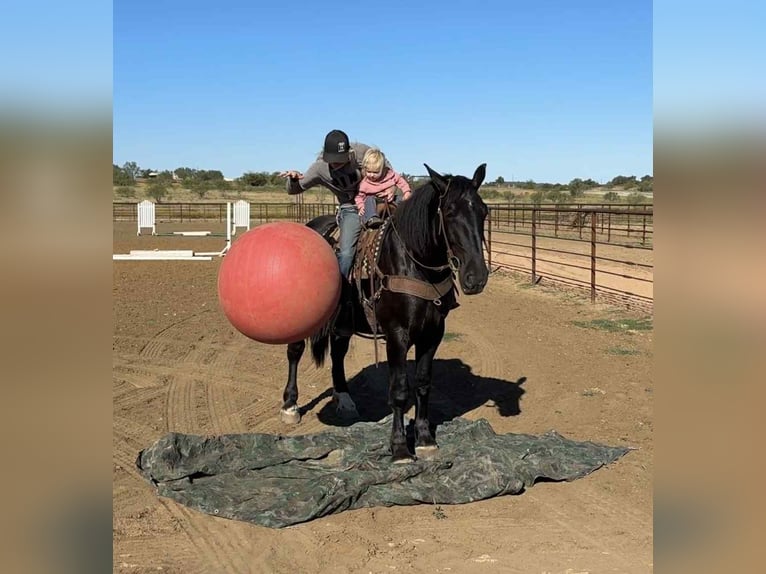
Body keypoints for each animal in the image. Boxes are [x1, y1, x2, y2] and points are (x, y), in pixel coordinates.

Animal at [280, 163, 489, 462]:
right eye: (449, 211)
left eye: (483, 211)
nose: (477, 277)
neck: (414, 263)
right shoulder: (396, 335)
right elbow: (400, 390)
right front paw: (400, 447)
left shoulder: (433, 334)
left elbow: (423, 384)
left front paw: (425, 439)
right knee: (295, 350)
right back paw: (290, 405)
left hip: (343, 322)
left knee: (338, 353)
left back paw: (344, 398)